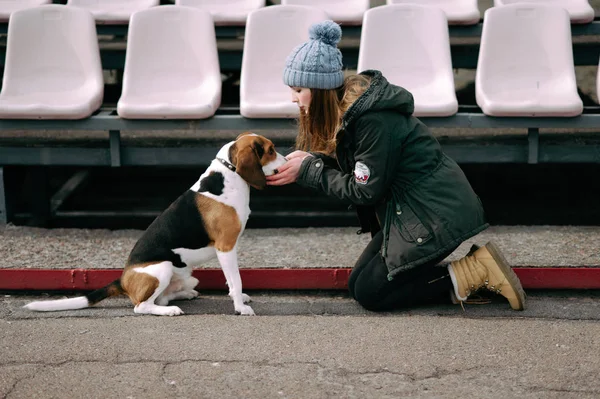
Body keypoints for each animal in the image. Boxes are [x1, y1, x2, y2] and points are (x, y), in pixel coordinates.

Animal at [23, 133, 286, 318]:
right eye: (271, 150)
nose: (286, 160)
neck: (228, 175)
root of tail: (122, 279)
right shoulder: (226, 248)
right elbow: (236, 279)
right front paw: (240, 306)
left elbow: (233, 283)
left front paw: (239, 298)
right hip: (162, 269)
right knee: (142, 306)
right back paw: (169, 311)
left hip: (186, 276)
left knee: (162, 298)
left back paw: (183, 295)